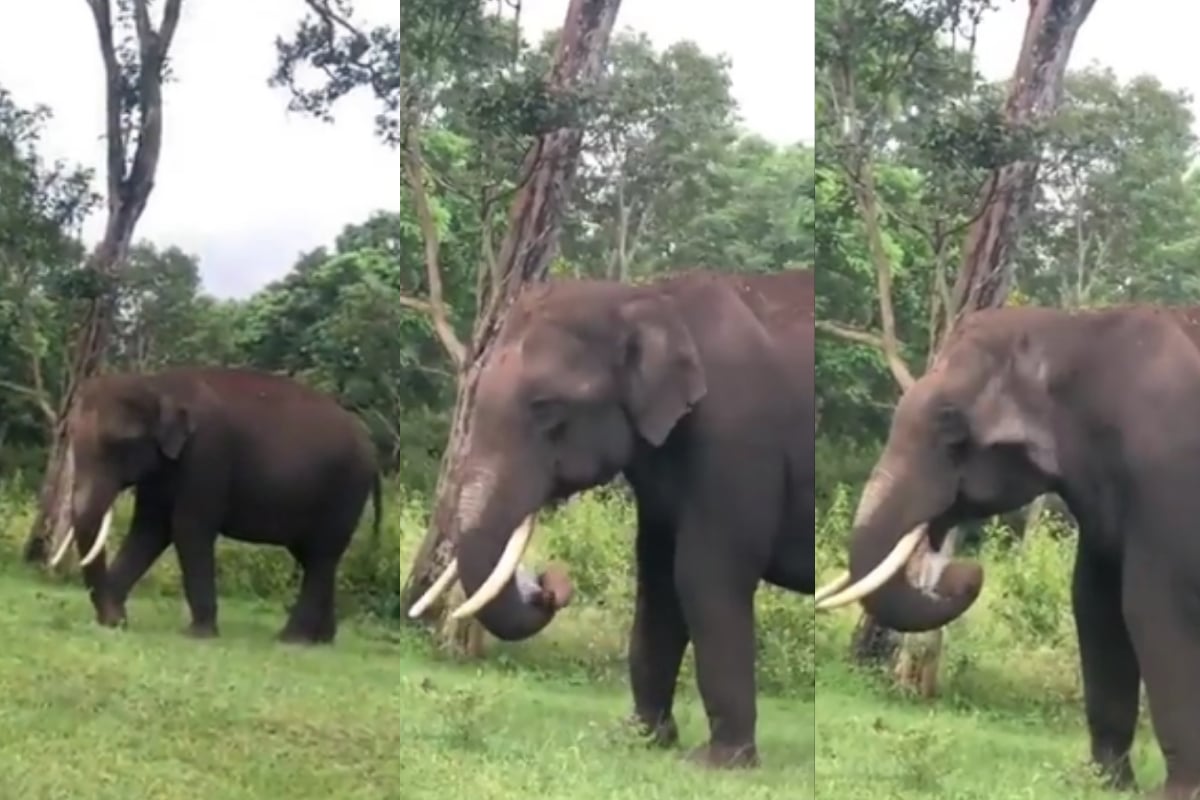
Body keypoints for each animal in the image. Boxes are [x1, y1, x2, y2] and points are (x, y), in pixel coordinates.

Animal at [54, 366, 382, 644]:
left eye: (120, 445)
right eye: (70, 436)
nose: (115, 620)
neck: (158, 383)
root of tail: (371, 445)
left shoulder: (207, 453)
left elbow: (188, 530)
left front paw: (198, 634)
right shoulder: (162, 471)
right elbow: (149, 530)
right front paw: (112, 618)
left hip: (346, 491)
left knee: (321, 556)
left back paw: (292, 639)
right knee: (313, 556)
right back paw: (322, 640)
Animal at [409, 268, 814, 768]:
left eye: (546, 408)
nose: (549, 585)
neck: (646, 298)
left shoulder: (738, 436)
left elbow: (704, 576)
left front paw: (718, 763)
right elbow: (658, 580)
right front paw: (639, 738)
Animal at [815, 304, 1200, 799]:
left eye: (951, 425)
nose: (967, 571)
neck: (1071, 329)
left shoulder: (1168, 472)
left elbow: (1152, 607)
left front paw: (1180, 792)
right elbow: (1095, 605)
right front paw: (1105, 784)